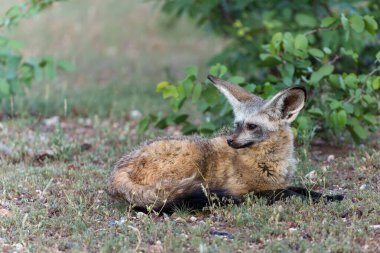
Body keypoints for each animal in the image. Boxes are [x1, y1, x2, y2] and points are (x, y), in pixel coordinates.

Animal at [107, 74, 344, 211]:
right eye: (237, 124)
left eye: (251, 126)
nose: (230, 140)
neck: (269, 162)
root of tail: (117, 170)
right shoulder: (247, 189)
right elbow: (290, 193)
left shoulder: (277, 183)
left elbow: (303, 190)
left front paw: (329, 196)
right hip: (194, 159)